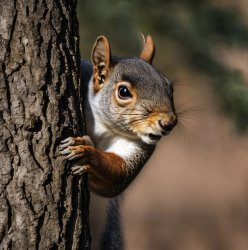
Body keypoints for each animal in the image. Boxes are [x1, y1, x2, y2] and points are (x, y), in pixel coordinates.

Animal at [59, 34, 177, 249]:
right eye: (123, 92)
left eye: (170, 88)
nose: (168, 123)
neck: (105, 127)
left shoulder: (141, 147)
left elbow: (117, 178)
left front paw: (85, 152)